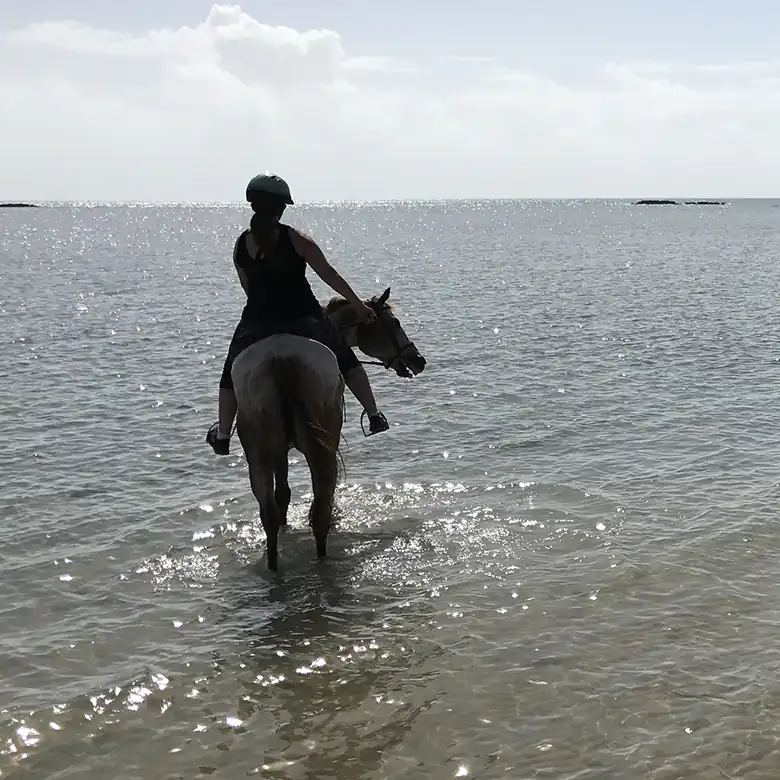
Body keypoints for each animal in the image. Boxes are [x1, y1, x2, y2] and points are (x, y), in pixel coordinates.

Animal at [230, 287, 426, 571]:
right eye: (395, 323)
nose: (418, 360)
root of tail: (281, 359)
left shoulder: (279, 451)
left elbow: (283, 495)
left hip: (258, 453)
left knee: (269, 513)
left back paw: (275, 566)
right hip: (321, 444)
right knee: (322, 506)